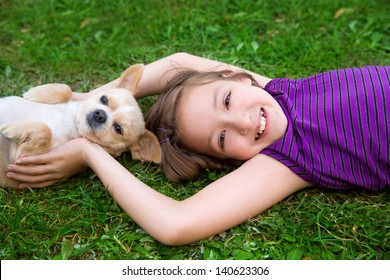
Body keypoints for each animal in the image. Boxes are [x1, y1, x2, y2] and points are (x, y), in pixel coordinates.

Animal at [0, 65, 161, 188]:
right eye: (104, 99)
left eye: (118, 129)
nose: (100, 114)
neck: (72, 122)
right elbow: (67, 89)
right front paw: (35, 93)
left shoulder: (22, 159)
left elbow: (45, 130)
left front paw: (11, 128)